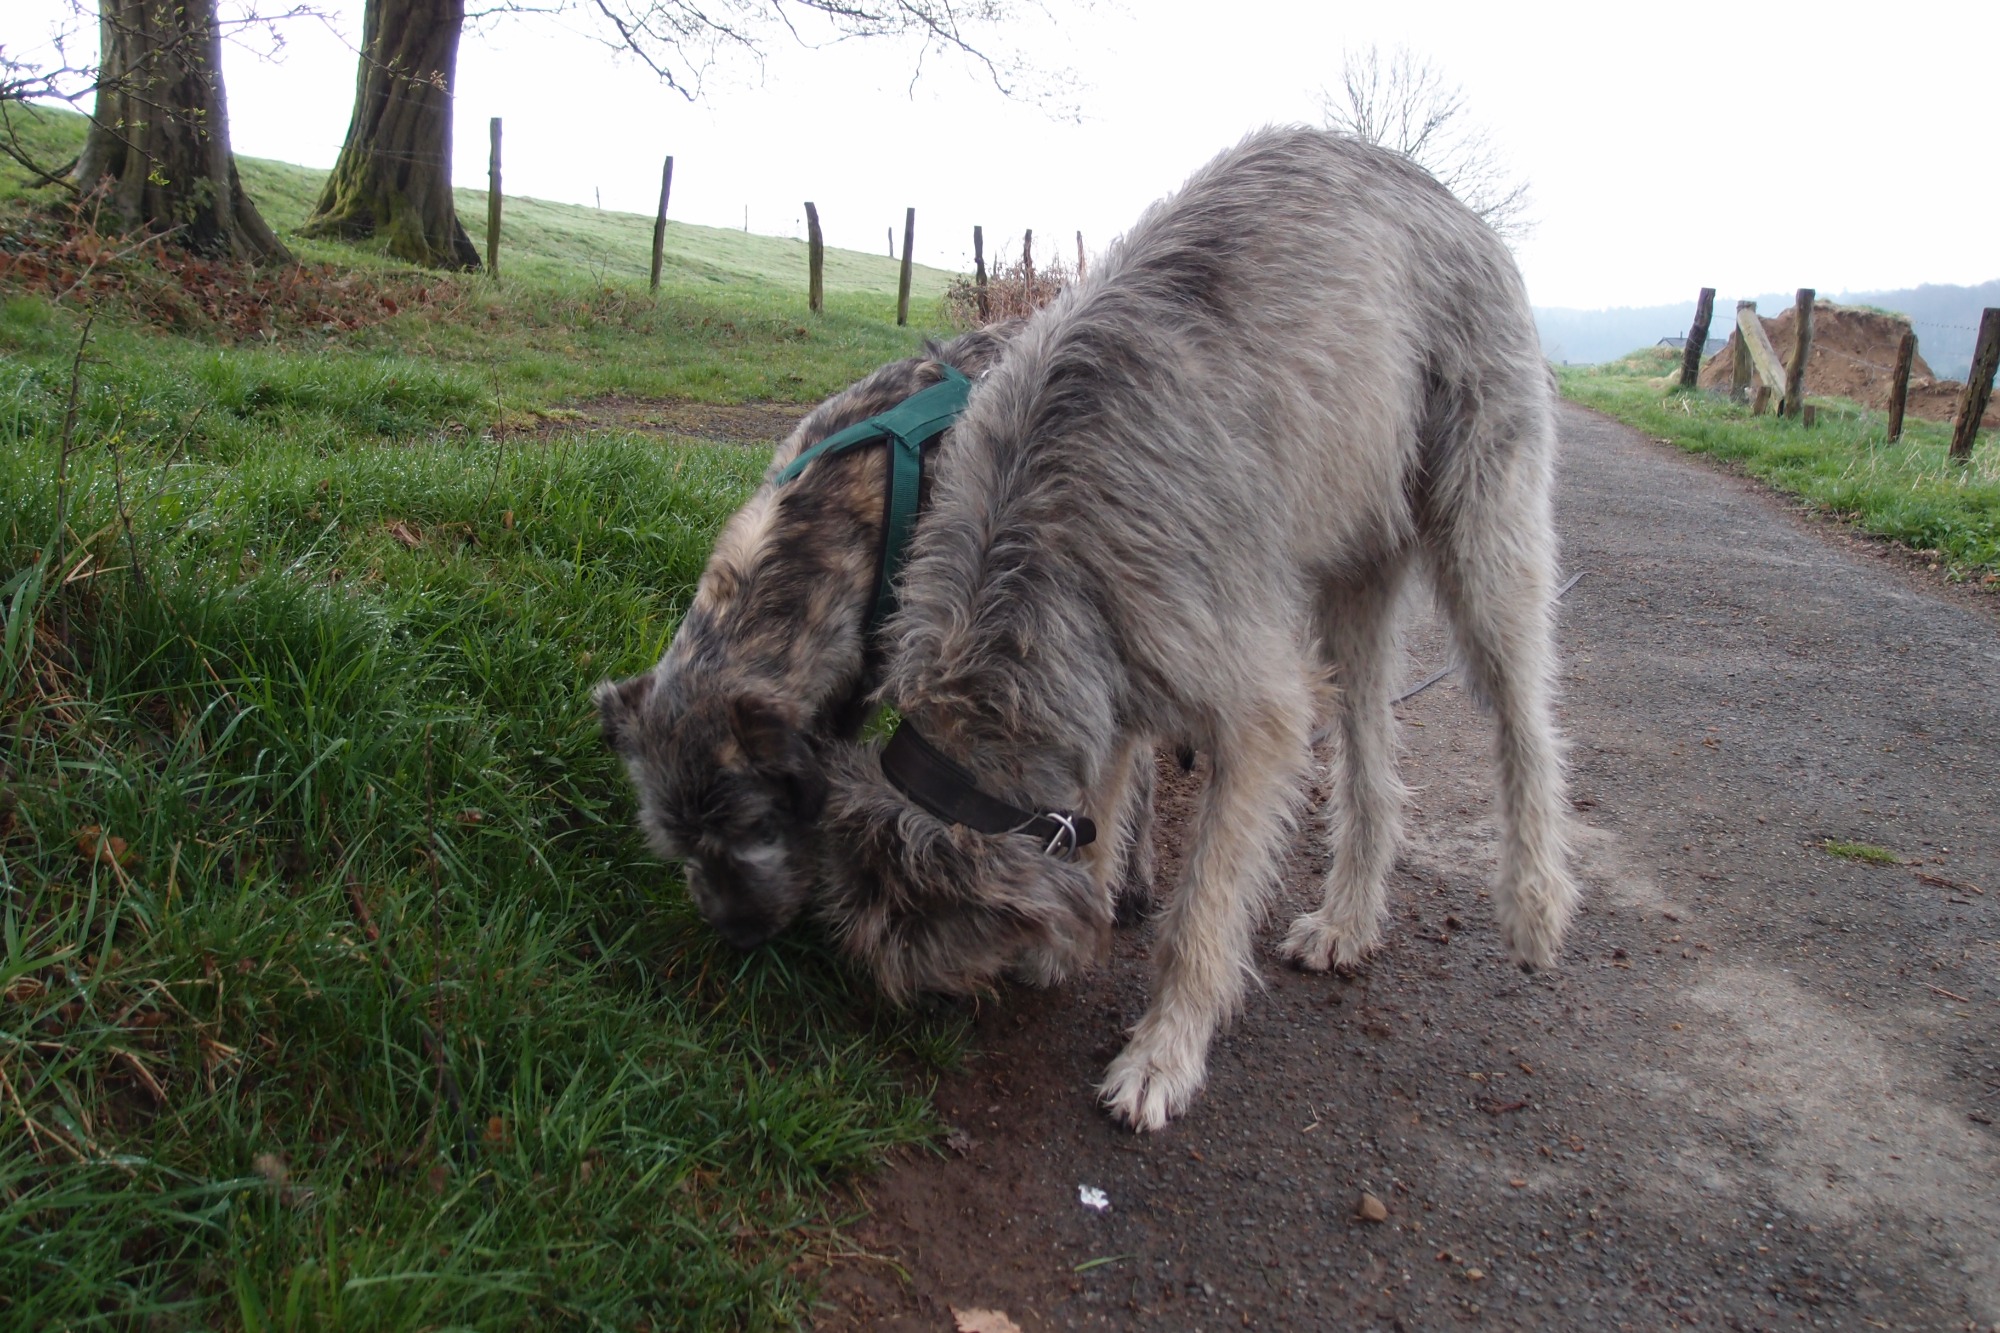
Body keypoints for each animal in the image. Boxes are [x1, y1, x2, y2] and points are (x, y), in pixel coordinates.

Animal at [815, 126, 1577, 1131]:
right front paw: (1077, 931)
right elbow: (1100, 804)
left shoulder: (1250, 703)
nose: (904, 1037)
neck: (1030, 552)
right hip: (1353, 567)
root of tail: (1445, 195)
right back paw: (1348, 919)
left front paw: (1162, 1054)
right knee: (1370, 747)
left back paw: (1534, 904)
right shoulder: (1106, 675)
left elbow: (1204, 904)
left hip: (1485, 521)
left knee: (1525, 716)